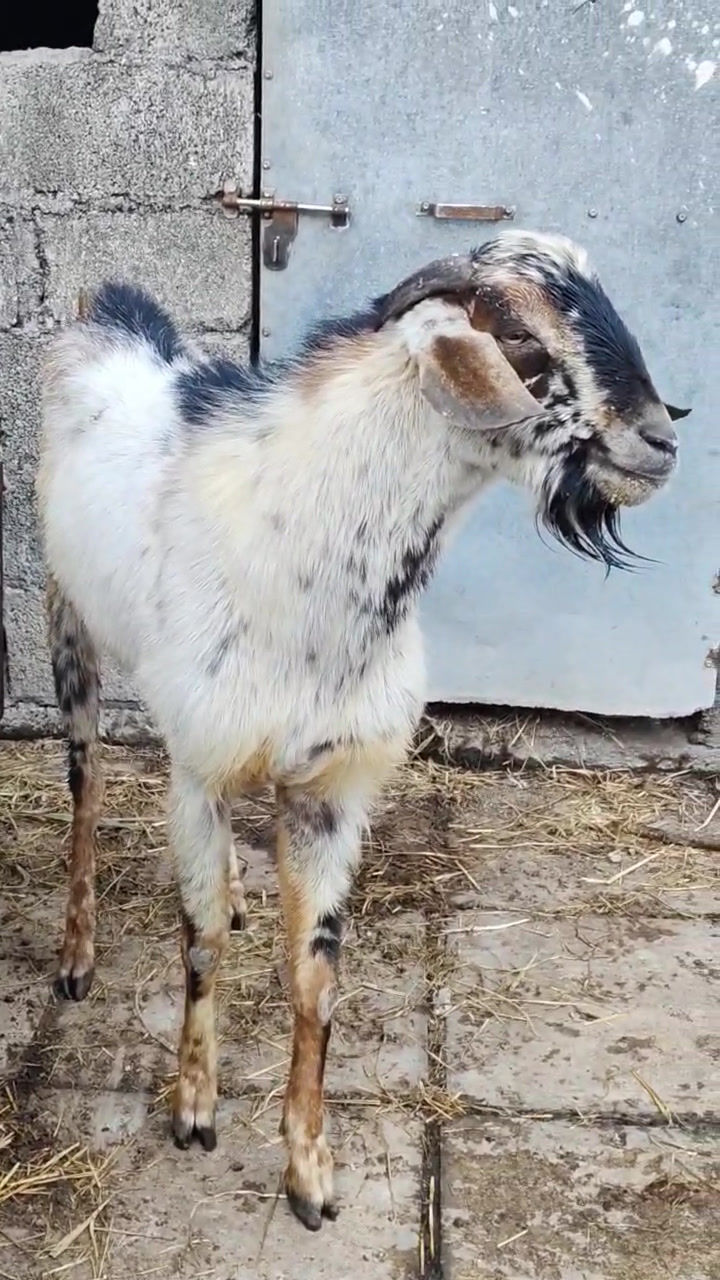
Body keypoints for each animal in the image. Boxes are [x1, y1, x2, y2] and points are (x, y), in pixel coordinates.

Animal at [37, 230, 680, 1229]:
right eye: (523, 344)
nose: (661, 441)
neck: (303, 552)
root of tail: (111, 307)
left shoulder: (332, 789)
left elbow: (316, 975)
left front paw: (309, 1171)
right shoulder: (199, 767)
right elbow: (200, 942)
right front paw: (193, 1106)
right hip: (66, 617)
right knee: (88, 782)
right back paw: (76, 955)